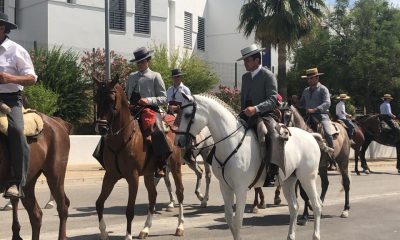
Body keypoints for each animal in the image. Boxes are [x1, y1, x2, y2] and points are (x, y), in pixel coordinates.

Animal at [93, 78, 184, 239]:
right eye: (96, 99)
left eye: (111, 99)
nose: (101, 128)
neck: (122, 138)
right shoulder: (110, 175)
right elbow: (99, 203)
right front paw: (103, 233)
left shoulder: (133, 177)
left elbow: (129, 210)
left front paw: (128, 236)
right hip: (148, 173)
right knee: (153, 195)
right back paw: (145, 229)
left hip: (175, 166)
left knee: (179, 192)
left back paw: (180, 226)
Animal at [175, 94, 322, 240]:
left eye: (187, 115)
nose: (178, 142)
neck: (231, 143)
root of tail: (310, 135)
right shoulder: (225, 187)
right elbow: (229, 218)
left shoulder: (241, 189)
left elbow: (237, 221)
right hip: (288, 181)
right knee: (294, 207)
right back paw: (291, 235)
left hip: (307, 179)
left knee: (317, 205)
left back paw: (316, 235)